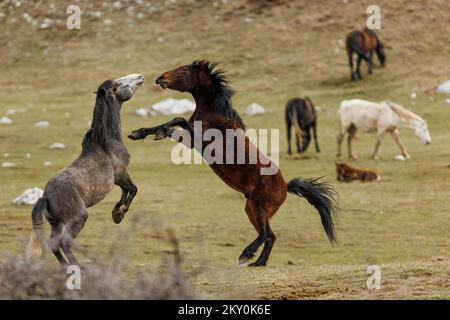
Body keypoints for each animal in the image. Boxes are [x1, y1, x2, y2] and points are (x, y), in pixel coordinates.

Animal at [30, 74, 143, 264]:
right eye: (118, 83)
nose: (140, 77)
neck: (106, 143)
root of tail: (46, 197)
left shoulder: (118, 179)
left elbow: (127, 191)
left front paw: (116, 213)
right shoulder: (121, 174)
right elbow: (133, 189)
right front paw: (119, 214)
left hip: (57, 224)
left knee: (54, 244)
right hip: (79, 218)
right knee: (64, 243)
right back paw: (78, 267)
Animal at [128, 60, 340, 268]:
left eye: (185, 69)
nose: (160, 78)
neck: (214, 112)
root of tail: (286, 187)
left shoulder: (199, 139)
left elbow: (177, 119)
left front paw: (156, 132)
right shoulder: (190, 141)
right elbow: (172, 125)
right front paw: (139, 133)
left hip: (258, 207)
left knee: (265, 234)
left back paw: (246, 255)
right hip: (252, 209)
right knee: (270, 236)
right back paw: (258, 262)